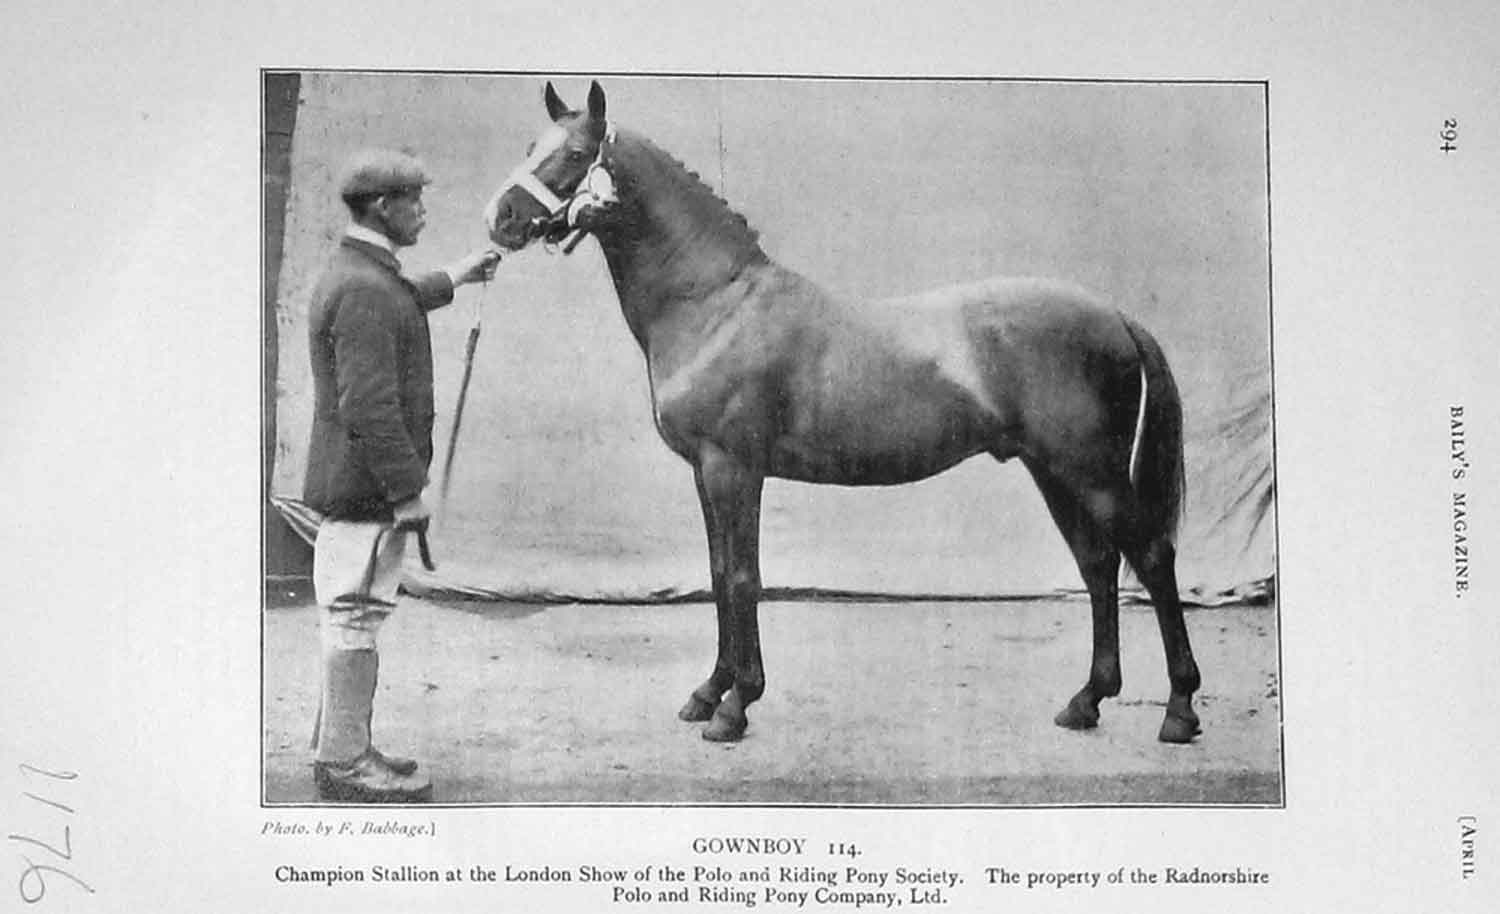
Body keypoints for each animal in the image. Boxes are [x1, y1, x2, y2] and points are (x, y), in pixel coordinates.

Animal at [483, 81, 1201, 745]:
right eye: (529, 145)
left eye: (577, 153)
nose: (502, 218)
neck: (716, 303)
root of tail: (1114, 314)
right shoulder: (704, 474)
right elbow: (716, 573)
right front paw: (708, 693)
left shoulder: (733, 469)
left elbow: (742, 578)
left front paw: (736, 707)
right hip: (1052, 471)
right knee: (1098, 564)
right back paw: (1087, 701)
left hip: (1092, 472)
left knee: (1151, 557)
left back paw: (1179, 710)